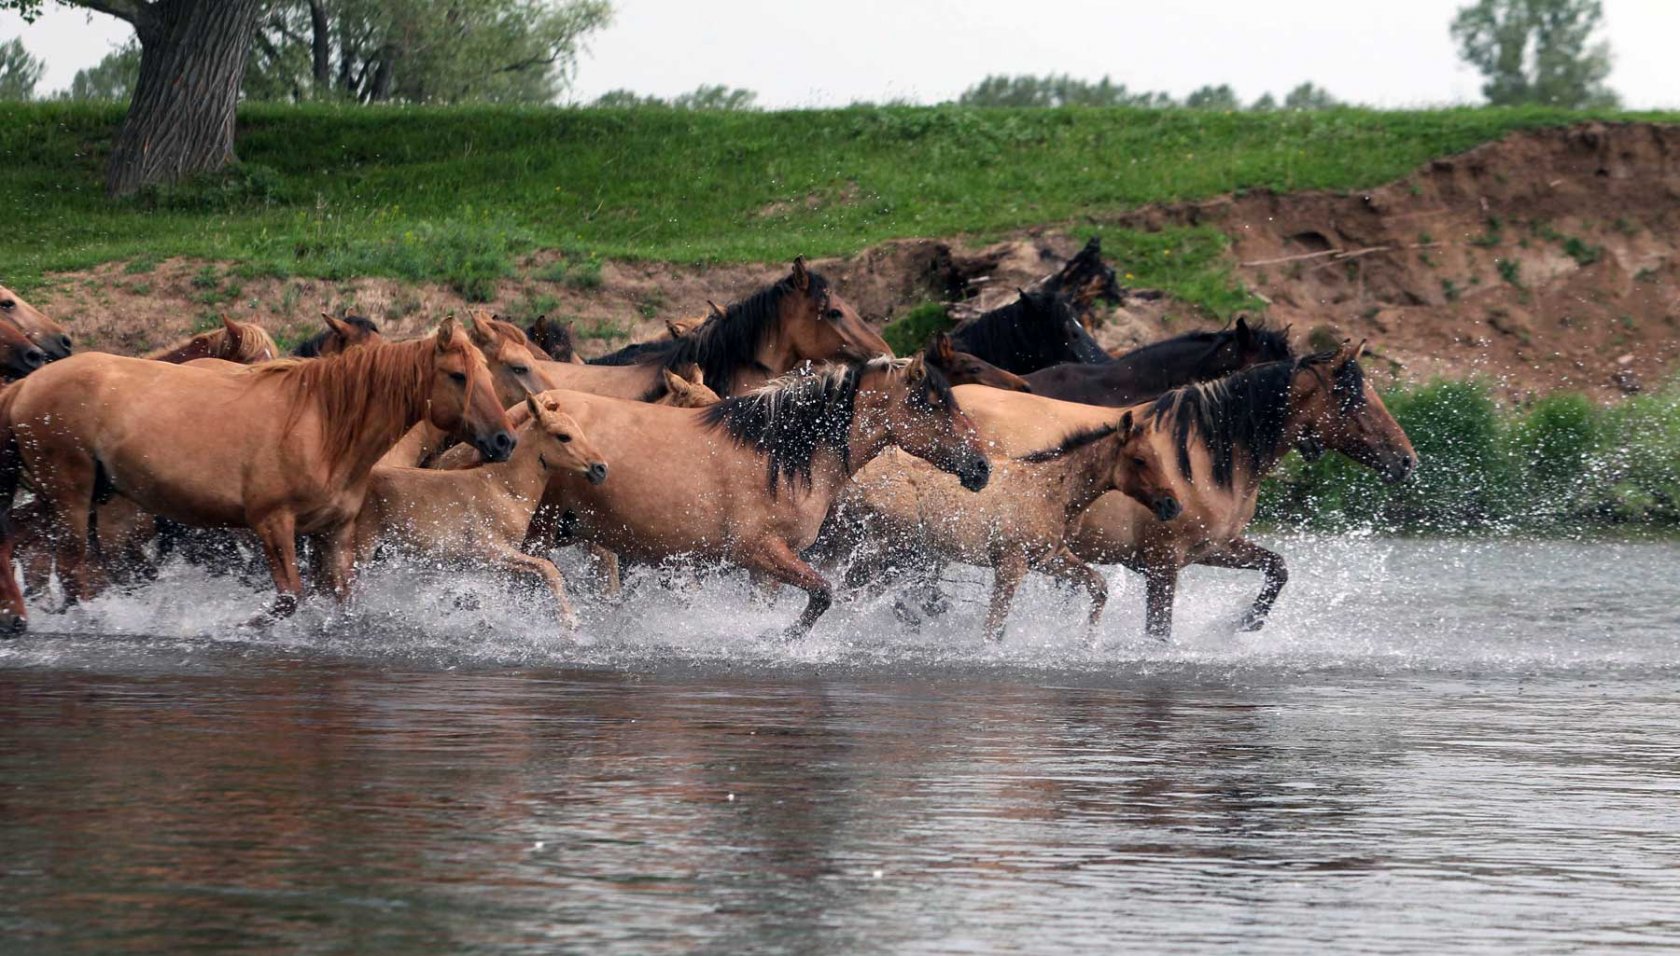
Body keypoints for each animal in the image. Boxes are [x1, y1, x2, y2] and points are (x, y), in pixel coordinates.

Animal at [840, 404, 1182, 641]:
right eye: (1139, 459)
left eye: (1159, 457)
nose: (1172, 505)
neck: (1054, 495)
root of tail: (851, 484)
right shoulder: (1010, 563)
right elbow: (993, 625)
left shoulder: (1048, 558)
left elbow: (1099, 585)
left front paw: (1088, 642)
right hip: (893, 551)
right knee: (852, 590)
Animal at [1061, 342, 1417, 641]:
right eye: (1354, 399)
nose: (1406, 460)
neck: (1197, 460)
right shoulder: (1163, 563)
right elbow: (1159, 632)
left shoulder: (1214, 547)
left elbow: (1277, 567)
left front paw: (1245, 622)